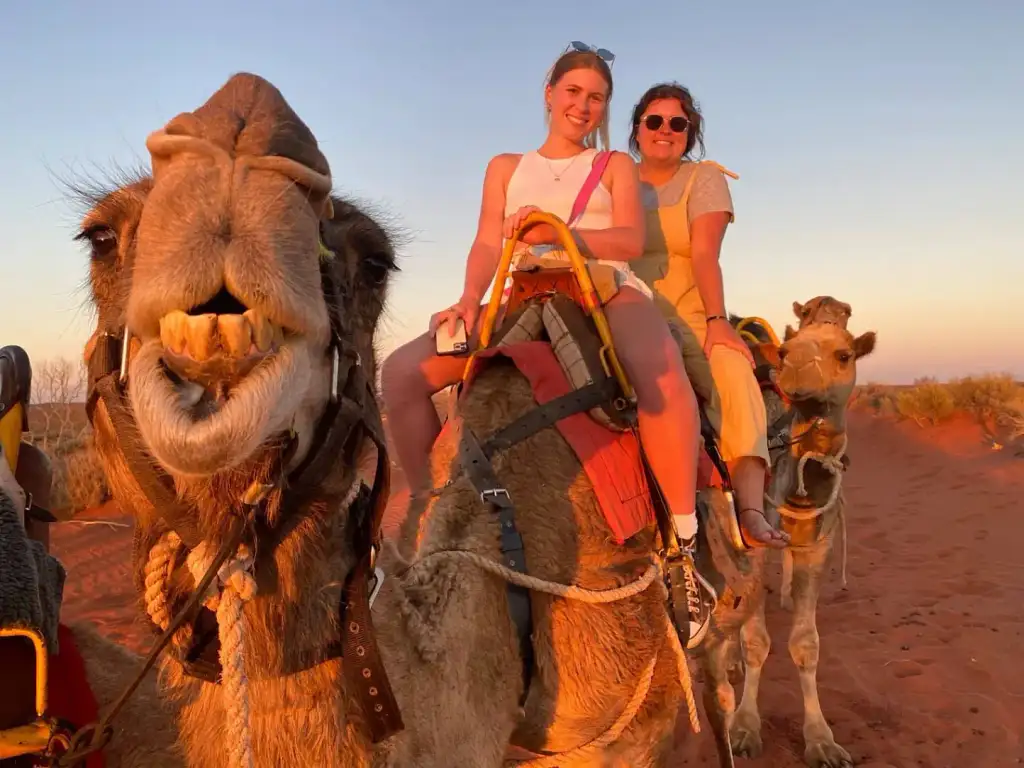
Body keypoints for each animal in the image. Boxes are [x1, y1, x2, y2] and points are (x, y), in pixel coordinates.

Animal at [696, 301, 880, 768]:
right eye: (787, 350)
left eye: (844, 354)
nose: (794, 364)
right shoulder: (755, 540)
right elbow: (757, 641)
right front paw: (744, 728)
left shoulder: (819, 544)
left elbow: (806, 644)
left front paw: (822, 740)